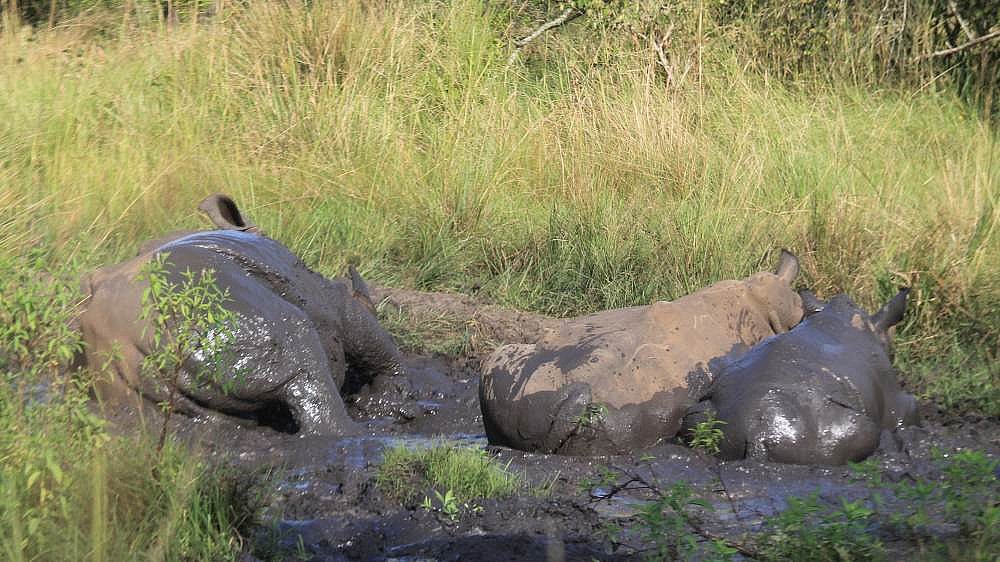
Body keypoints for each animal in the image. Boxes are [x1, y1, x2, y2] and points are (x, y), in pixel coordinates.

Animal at [78, 195, 403, 436]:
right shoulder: (332, 300)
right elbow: (370, 338)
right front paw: (384, 403)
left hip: (119, 363)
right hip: (217, 310)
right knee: (300, 353)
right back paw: (368, 428)